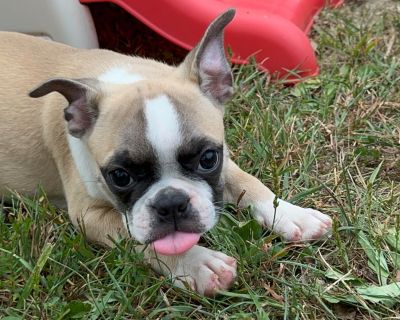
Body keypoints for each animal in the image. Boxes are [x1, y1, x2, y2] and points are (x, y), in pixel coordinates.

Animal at [0, 9, 332, 296]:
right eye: (120, 177)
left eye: (208, 159)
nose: (171, 202)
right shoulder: (89, 215)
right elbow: (139, 238)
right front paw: (197, 264)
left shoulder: (225, 159)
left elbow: (248, 182)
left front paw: (292, 216)